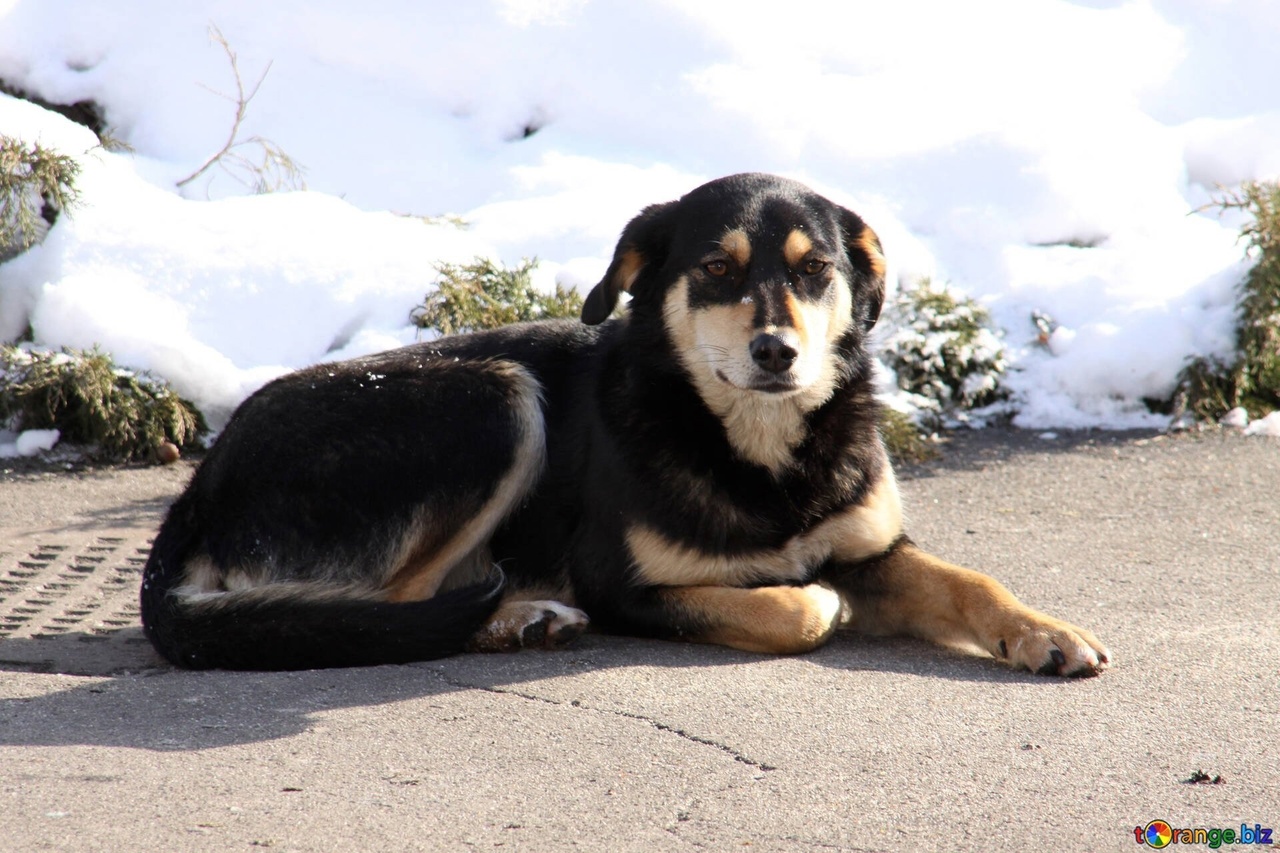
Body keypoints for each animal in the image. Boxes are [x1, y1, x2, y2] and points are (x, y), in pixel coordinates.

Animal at [142, 172, 1111, 676]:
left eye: (816, 270)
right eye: (716, 267)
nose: (776, 352)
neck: (758, 447)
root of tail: (197, 489)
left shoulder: (873, 549)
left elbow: (971, 580)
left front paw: (1046, 632)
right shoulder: (628, 586)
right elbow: (789, 607)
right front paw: (807, 602)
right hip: (491, 400)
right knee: (398, 609)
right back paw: (518, 616)